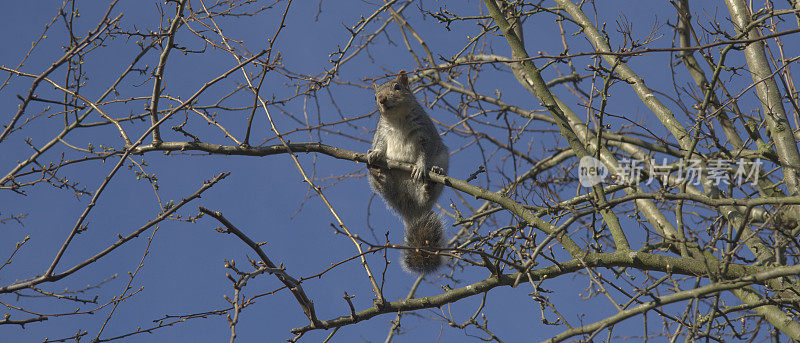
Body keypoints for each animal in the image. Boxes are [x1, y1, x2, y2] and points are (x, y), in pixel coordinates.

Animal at [368, 71, 450, 276]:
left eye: (397, 87)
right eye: (375, 96)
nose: (382, 99)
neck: (397, 118)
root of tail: (412, 212)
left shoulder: (425, 134)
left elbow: (425, 153)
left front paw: (421, 166)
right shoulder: (381, 134)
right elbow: (380, 145)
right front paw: (375, 154)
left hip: (441, 162)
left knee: (427, 194)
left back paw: (430, 182)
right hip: (387, 190)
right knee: (385, 187)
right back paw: (377, 173)